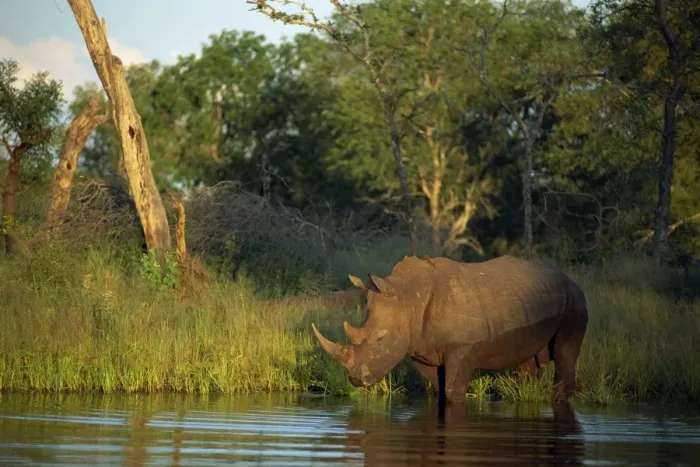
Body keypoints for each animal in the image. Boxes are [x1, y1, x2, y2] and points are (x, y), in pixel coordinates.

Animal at [311, 255, 589, 404]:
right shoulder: (421, 349)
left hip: (575, 299)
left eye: (380, 338)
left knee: (565, 353)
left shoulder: (463, 347)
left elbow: (453, 389)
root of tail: (570, 278)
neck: (407, 298)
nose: (356, 380)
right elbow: (439, 389)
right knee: (526, 361)